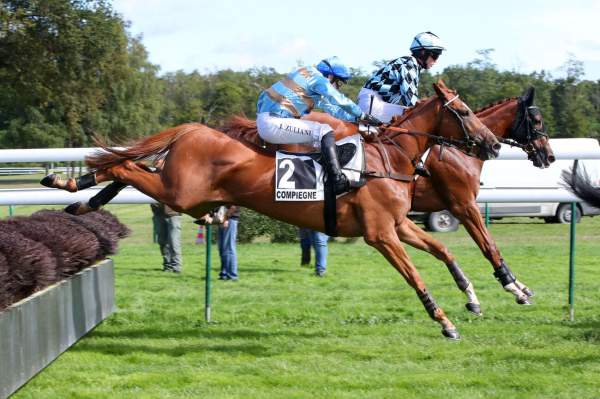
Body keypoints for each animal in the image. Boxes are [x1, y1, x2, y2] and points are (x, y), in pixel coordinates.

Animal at [44, 81, 500, 340]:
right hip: (180, 192)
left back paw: (80, 199)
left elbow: (444, 251)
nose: (493, 144)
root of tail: (194, 129)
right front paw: (445, 322)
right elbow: (416, 276)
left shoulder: (399, 226)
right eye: (463, 112)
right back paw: (70, 184)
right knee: (123, 166)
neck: (389, 159)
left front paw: (473, 298)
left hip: (188, 195)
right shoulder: (381, 234)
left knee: (130, 169)